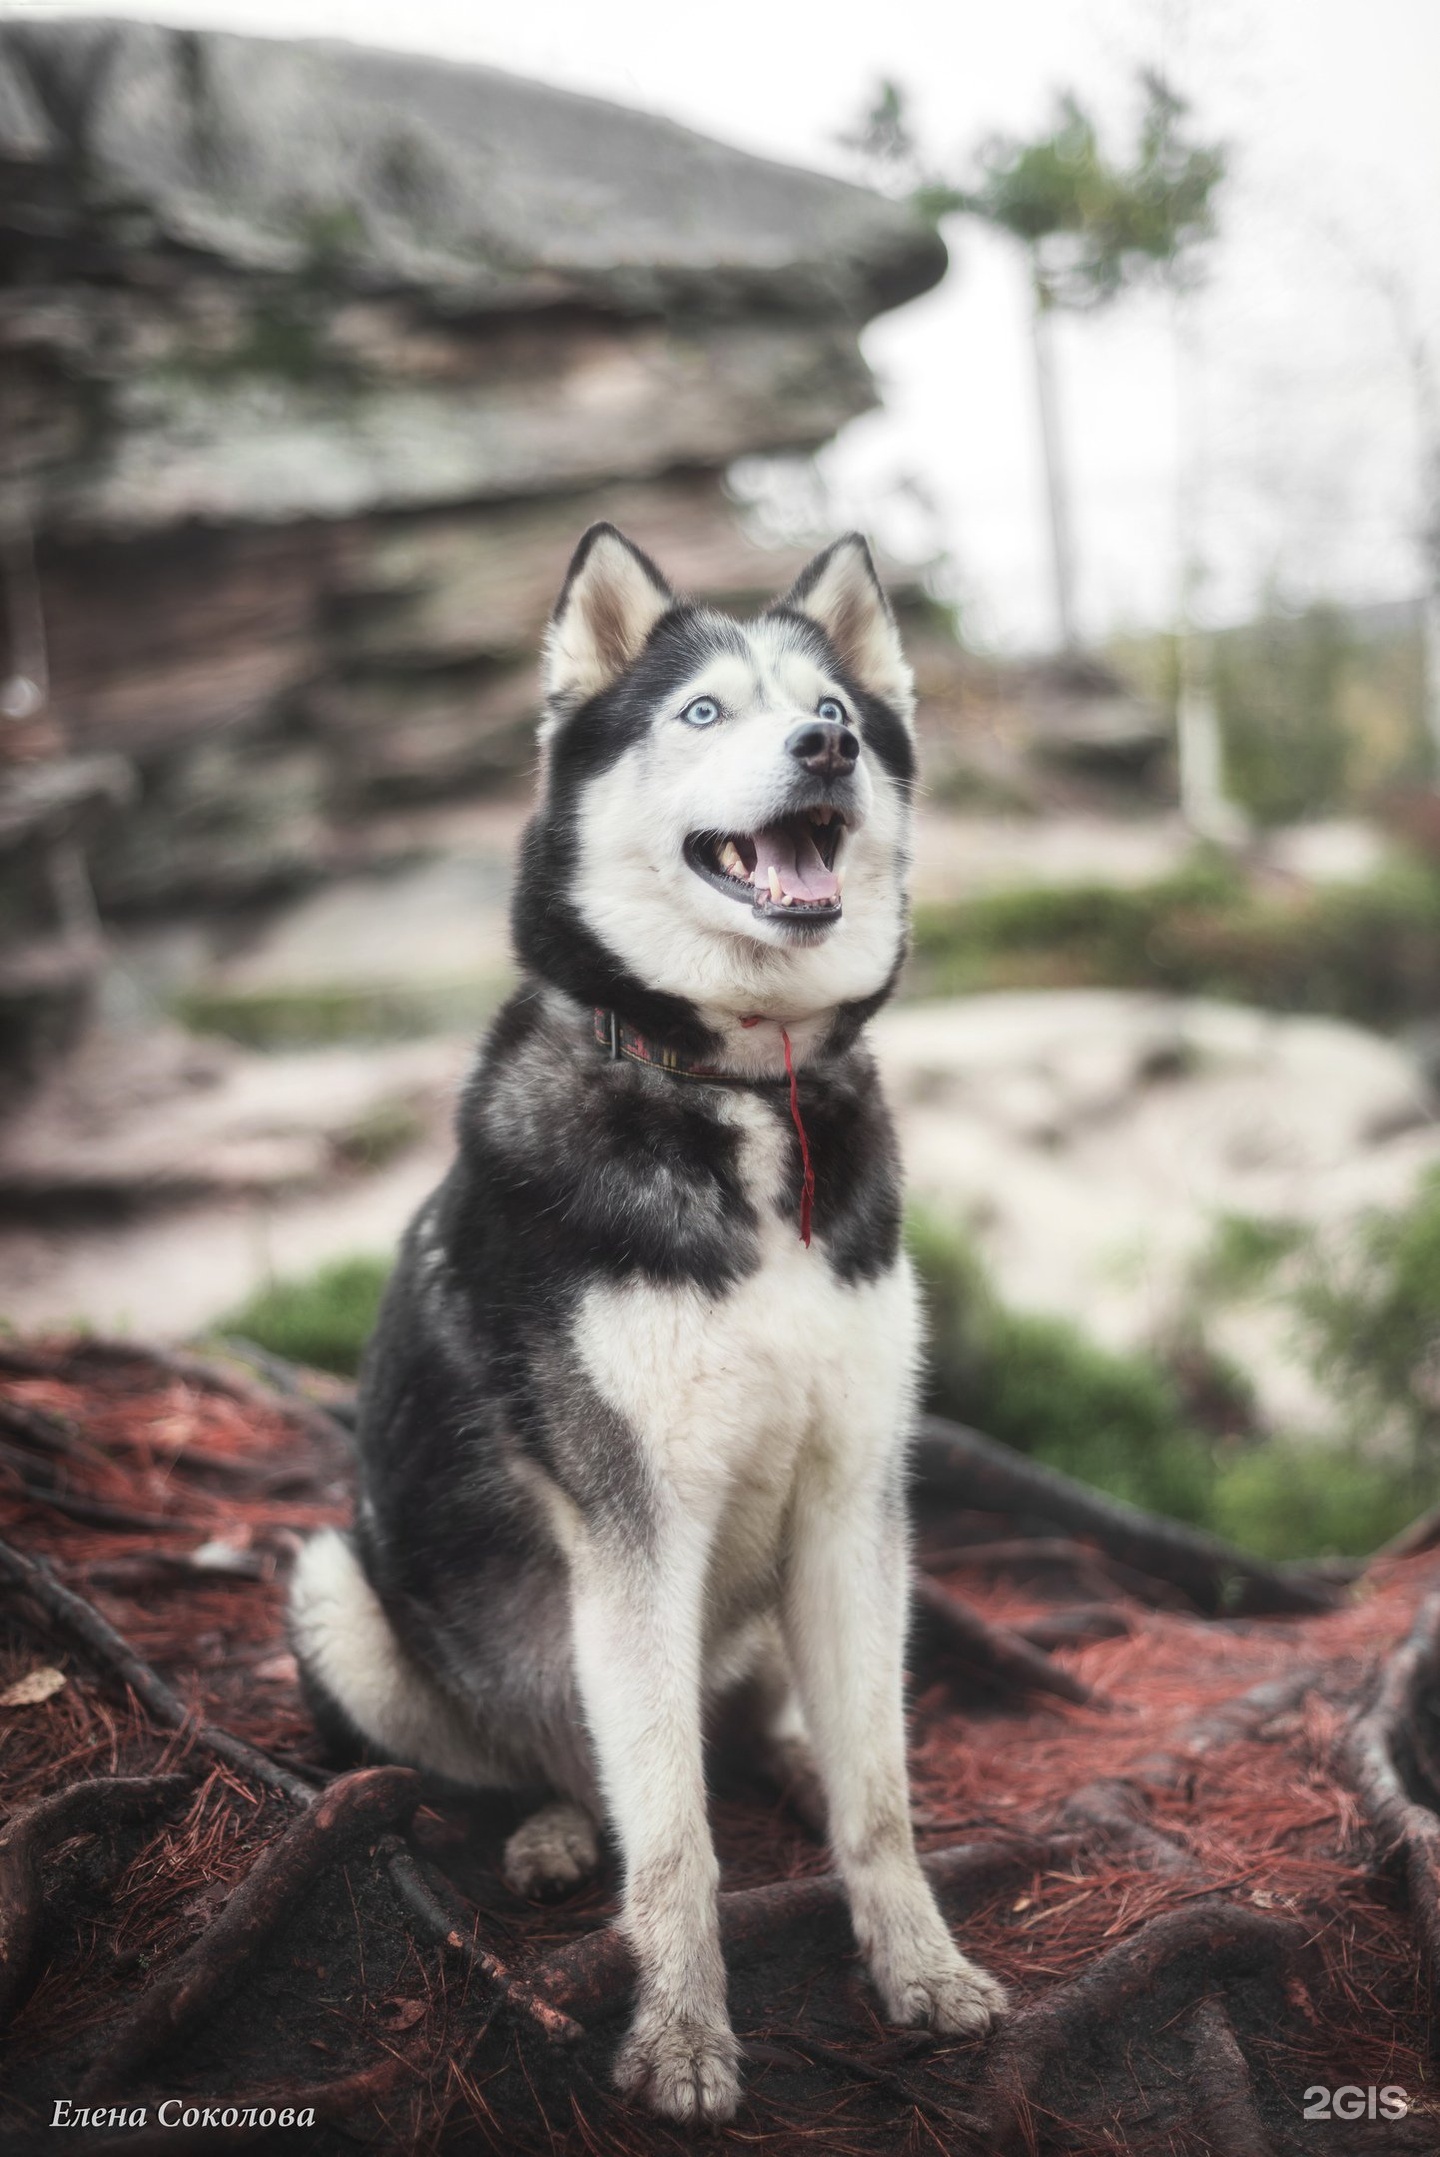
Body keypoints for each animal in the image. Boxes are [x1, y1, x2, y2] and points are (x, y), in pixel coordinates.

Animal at [291, 526, 1008, 2122]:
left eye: (836, 711)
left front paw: (919, 1970)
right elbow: (673, 1838)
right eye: (703, 712)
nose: (826, 747)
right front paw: (679, 2039)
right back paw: (560, 1828)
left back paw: (787, 1758)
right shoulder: (634, 1525)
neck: (737, 1092)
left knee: (788, 1726)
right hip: (341, 1591)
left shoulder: (853, 1494)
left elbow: (880, 1800)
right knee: (560, 1764)